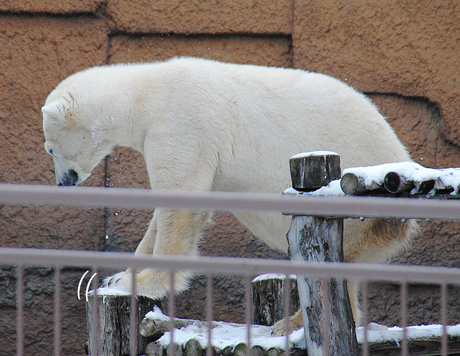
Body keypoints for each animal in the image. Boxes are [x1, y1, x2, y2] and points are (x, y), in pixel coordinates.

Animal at [43, 57, 416, 332]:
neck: (146, 93)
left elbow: (181, 201)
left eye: (49, 148)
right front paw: (120, 273)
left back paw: (291, 323)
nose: (63, 181)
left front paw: (141, 281)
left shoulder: (180, 123)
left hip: (355, 203)